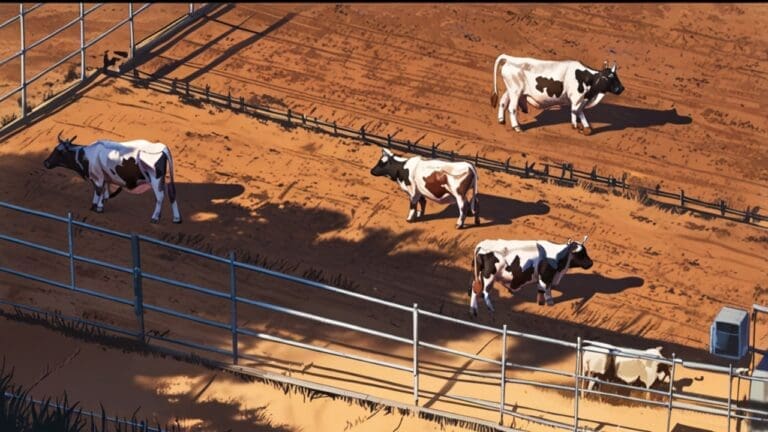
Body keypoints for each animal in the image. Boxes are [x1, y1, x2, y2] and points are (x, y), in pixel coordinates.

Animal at [43, 132, 182, 224]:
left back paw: (155, 217)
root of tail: (162, 147)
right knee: (172, 193)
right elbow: (104, 191)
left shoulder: (97, 177)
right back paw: (176, 218)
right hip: (164, 179)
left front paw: (96, 206)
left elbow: (98, 190)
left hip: (155, 179)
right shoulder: (104, 177)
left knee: (160, 197)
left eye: (58, 151)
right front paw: (100, 205)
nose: (46, 163)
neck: (86, 155)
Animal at [490, 54, 624, 135]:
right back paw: (517, 127)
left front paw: (587, 128)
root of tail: (510, 58)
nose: (621, 88)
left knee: (503, 101)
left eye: (616, 76)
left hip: (511, 90)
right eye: (609, 77)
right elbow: (575, 111)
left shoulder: (582, 99)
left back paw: (501, 120)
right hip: (515, 91)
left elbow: (580, 112)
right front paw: (575, 126)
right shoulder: (576, 98)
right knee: (512, 108)